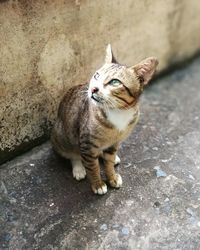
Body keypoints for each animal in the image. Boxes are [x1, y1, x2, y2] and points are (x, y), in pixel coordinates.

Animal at [50, 44, 158, 194]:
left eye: (115, 82)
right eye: (97, 75)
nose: (93, 89)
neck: (118, 111)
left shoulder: (115, 142)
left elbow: (108, 163)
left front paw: (112, 176)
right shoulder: (87, 144)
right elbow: (93, 167)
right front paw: (98, 184)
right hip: (62, 136)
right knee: (73, 154)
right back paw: (78, 168)